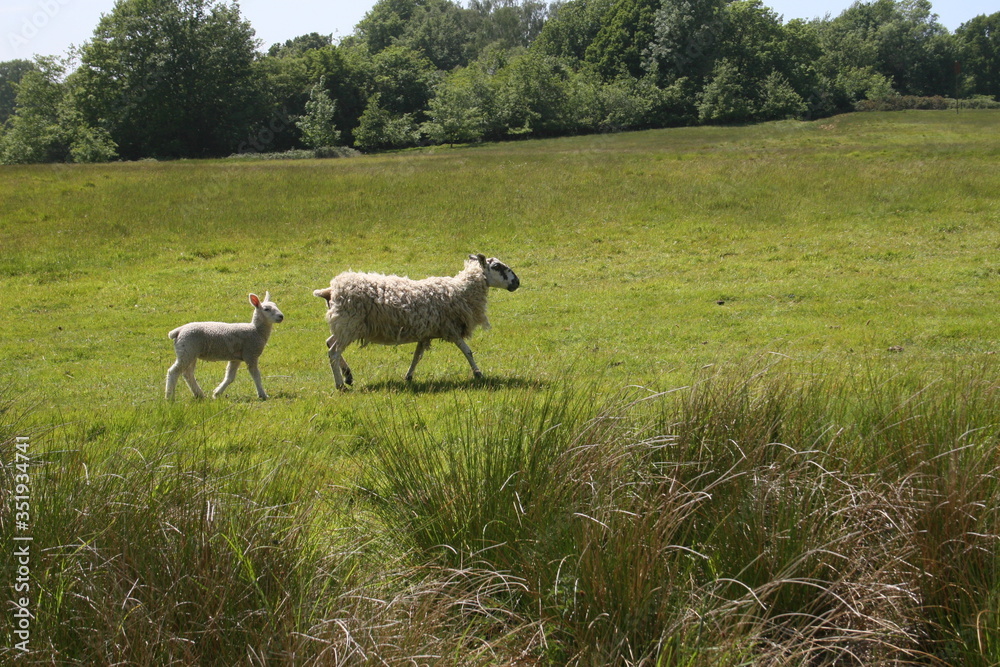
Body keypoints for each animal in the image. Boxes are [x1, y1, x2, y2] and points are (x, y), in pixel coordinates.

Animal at [313, 253, 520, 389]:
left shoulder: (426, 332)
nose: (517, 282)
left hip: (344, 326)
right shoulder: (451, 329)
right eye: (497, 267)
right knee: (333, 352)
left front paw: (409, 376)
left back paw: (348, 376)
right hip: (348, 325)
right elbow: (467, 351)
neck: (462, 290)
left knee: (329, 343)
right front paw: (478, 374)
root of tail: (331, 290)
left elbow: (417, 356)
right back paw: (340, 385)